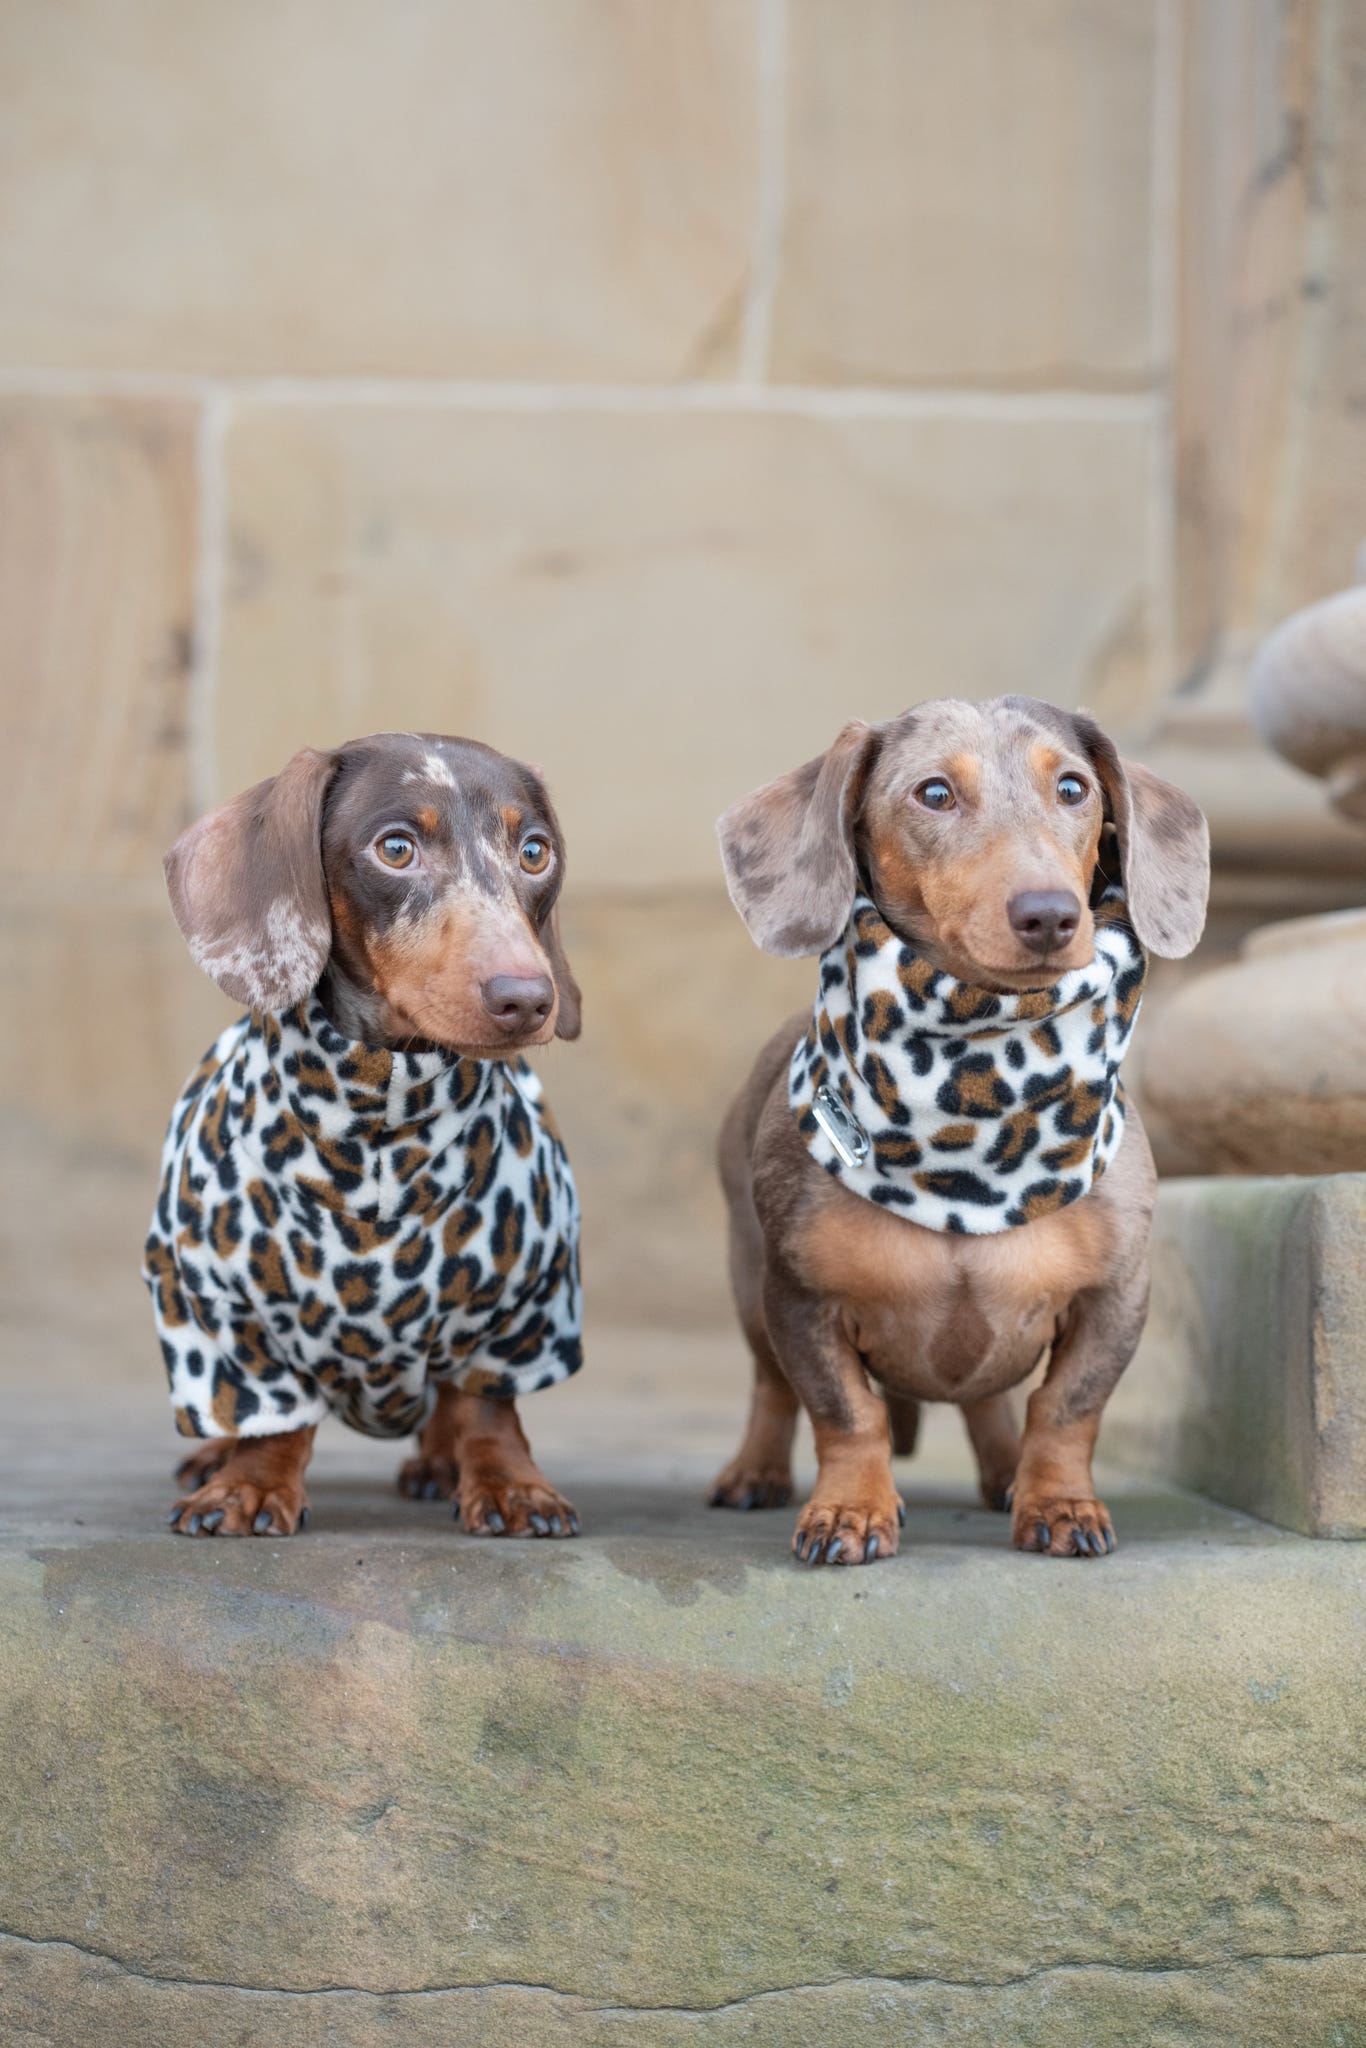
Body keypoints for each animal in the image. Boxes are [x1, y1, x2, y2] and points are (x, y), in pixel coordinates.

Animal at [149, 733, 589, 1540]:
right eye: (396, 848)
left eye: (535, 852)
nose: (527, 999)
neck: (380, 1134)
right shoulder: (216, 1308)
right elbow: (272, 1414)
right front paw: (249, 1484)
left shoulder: (522, 1309)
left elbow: (486, 1405)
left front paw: (510, 1484)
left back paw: (440, 1462)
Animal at [712, 696, 1212, 1556]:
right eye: (935, 795)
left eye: (1074, 788)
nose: (1050, 915)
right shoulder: (799, 1299)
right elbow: (847, 1413)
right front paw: (850, 1510)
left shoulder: (1116, 1297)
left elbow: (1065, 1409)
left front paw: (1058, 1504)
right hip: (749, 1289)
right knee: (771, 1389)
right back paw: (756, 1472)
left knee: (989, 1404)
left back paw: (1008, 1473)